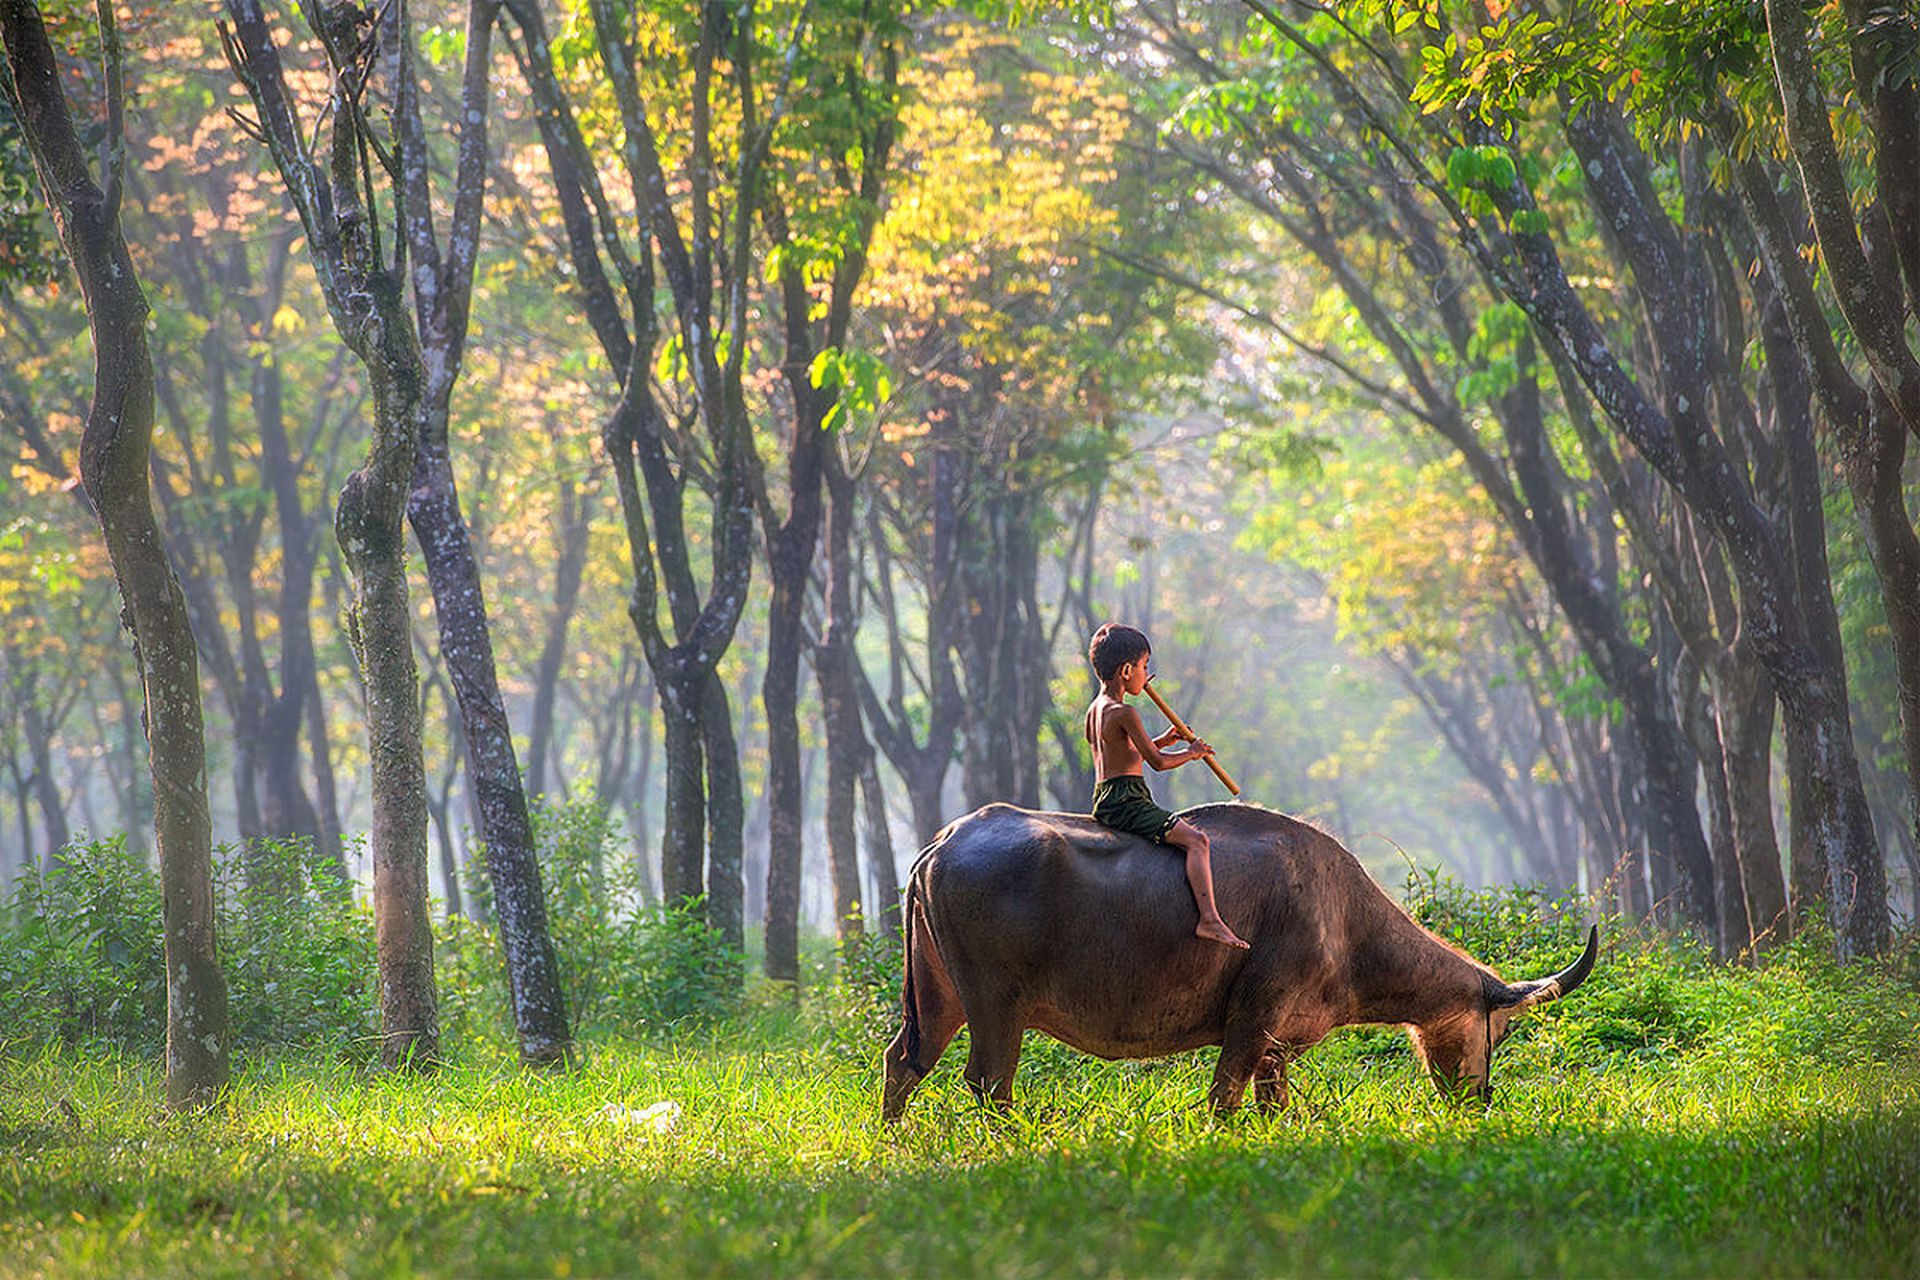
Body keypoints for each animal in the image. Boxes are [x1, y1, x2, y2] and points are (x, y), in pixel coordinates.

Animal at [879, 802, 1597, 1120]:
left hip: (940, 998)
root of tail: (944, 841)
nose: (1482, 1098)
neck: (1341, 917)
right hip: (996, 1008)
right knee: (987, 1083)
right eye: (1496, 1029)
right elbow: (1223, 1099)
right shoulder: (1252, 1021)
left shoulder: (1276, 1047)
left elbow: (1270, 1105)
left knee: (904, 1061)